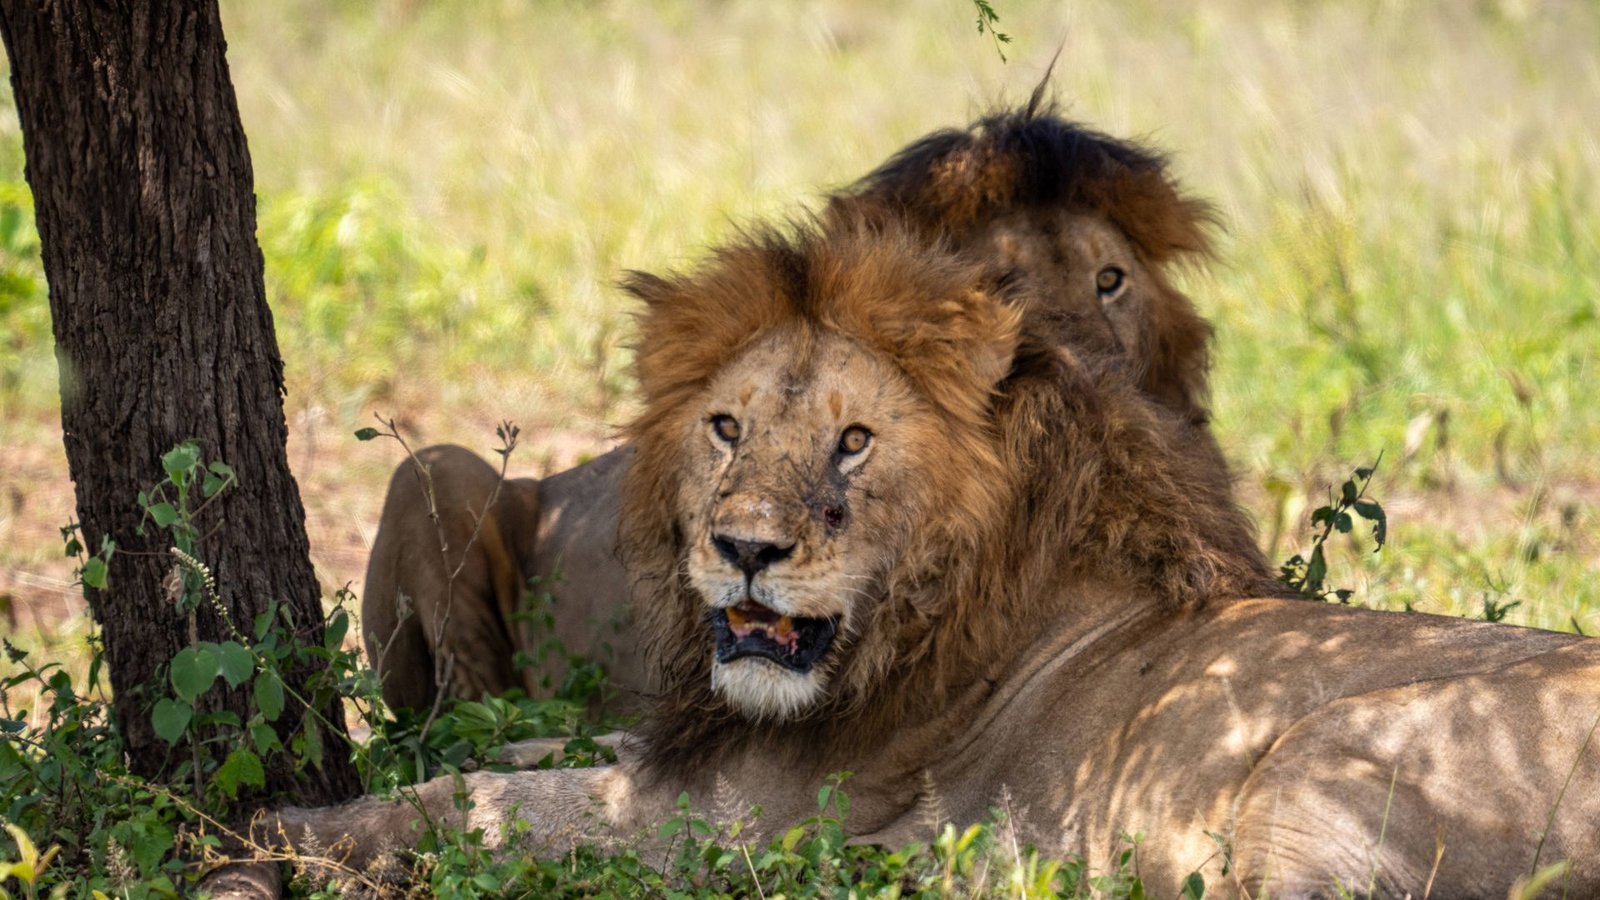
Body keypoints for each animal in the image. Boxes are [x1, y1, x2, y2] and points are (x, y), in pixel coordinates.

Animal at [283, 208, 1600, 898]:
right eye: (727, 427)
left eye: (854, 441)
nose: (743, 549)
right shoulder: (678, 749)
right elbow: (521, 749)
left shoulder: (742, 818)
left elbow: (481, 802)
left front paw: (294, 830)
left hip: (1321, 757)